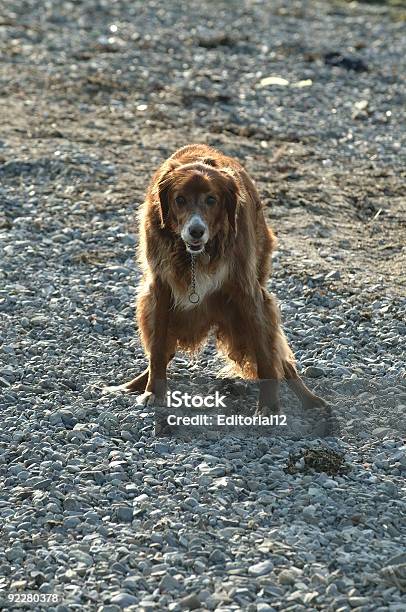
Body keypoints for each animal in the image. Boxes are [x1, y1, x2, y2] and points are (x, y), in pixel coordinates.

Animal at [106, 144, 326, 414]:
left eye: (212, 200)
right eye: (179, 199)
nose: (196, 231)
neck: (193, 256)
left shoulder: (247, 292)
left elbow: (265, 355)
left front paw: (268, 405)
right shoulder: (160, 288)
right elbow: (157, 349)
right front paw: (153, 392)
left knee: (281, 359)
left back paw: (311, 400)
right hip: (147, 304)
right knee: (163, 352)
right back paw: (133, 384)